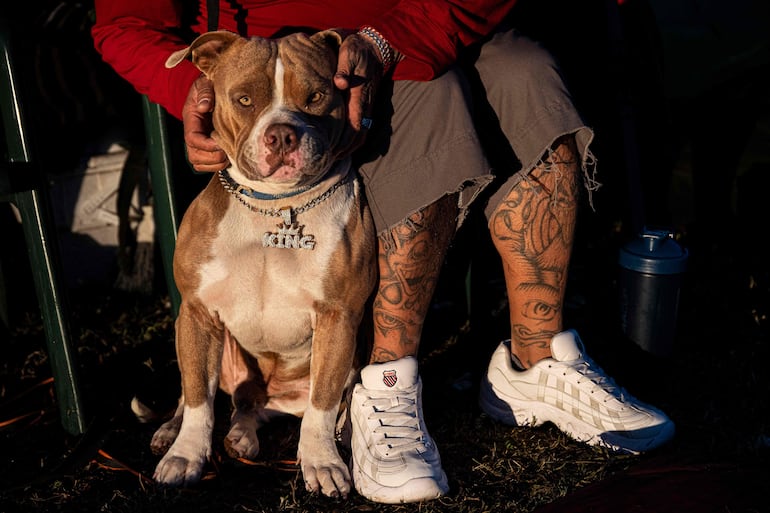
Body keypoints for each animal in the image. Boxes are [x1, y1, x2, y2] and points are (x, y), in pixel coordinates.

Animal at [148, 30, 376, 498]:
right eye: (244, 100)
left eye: (315, 96)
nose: (283, 135)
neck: (275, 206)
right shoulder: (196, 312)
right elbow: (197, 399)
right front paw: (185, 455)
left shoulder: (338, 318)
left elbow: (323, 406)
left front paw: (322, 462)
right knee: (206, 395)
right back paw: (175, 430)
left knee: (255, 409)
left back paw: (246, 435)